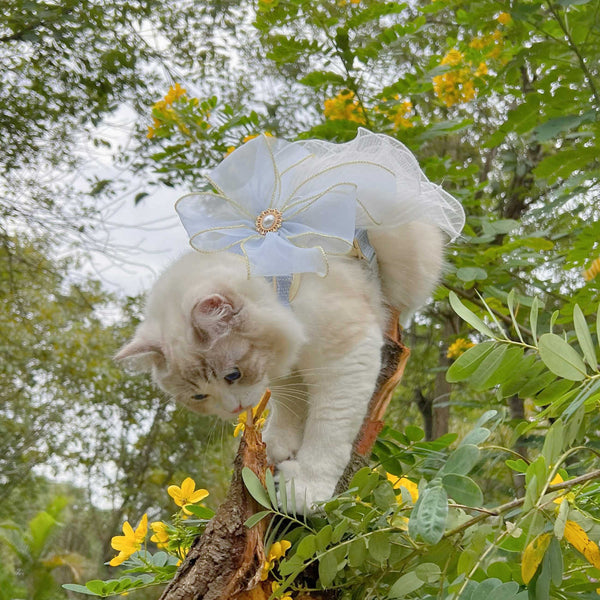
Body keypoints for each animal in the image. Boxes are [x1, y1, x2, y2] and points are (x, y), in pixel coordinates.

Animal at [116, 220, 446, 510]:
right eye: (199, 396)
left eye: (232, 375)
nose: (234, 409)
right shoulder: (285, 365)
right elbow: (290, 406)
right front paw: (279, 445)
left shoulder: (347, 358)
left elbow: (327, 431)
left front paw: (305, 491)